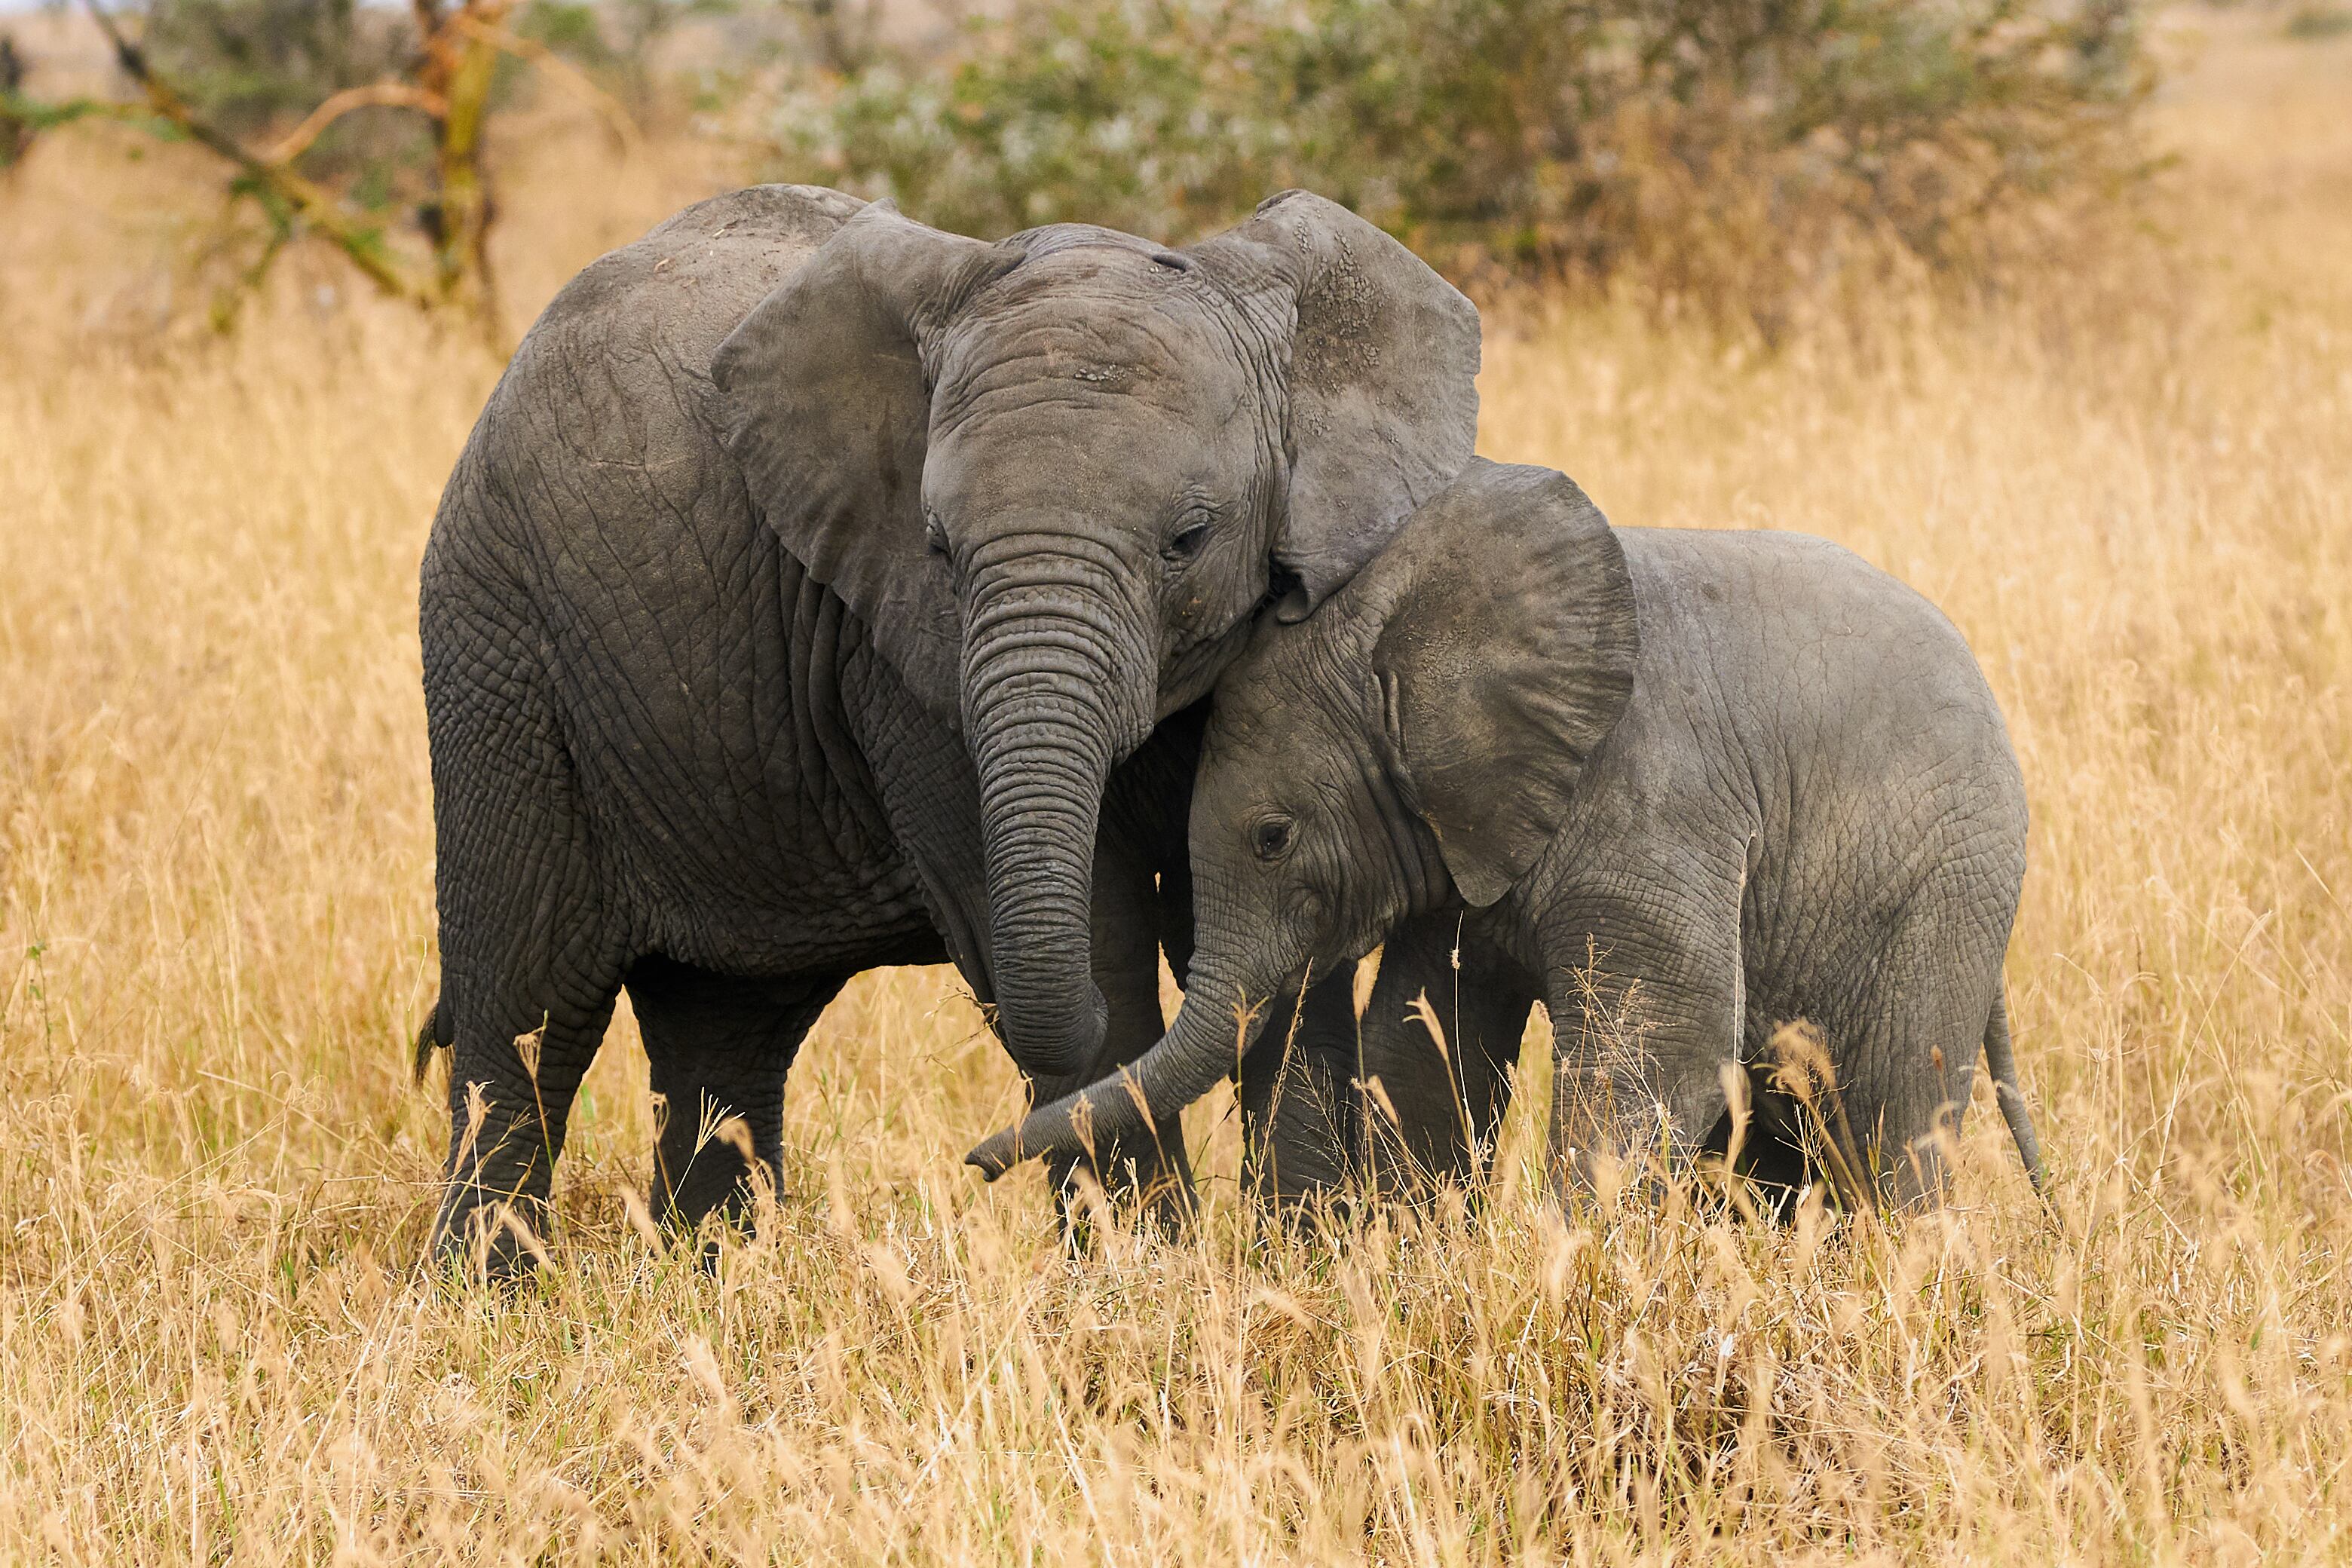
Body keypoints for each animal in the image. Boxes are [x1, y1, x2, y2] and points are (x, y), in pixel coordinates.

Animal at [412, 182, 1483, 1267]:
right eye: (939, 548)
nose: (975, 1163)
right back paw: (488, 1289)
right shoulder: (898, 658)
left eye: (1190, 539)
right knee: (528, 1013)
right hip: (496, 651)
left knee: (725, 1033)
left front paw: (1311, 1259)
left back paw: (713, 1276)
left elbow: (1283, 931)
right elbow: (1100, 934)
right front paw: (1145, 1274)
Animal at [969, 459, 2046, 1211]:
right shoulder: (1459, 840)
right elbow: (1421, 1045)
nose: (974, 1162)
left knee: (1892, 1120)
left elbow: (1661, 1051)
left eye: (1272, 837)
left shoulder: (1651, 800)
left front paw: (1571, 1266)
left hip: (1947, 888)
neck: (1405, 630)